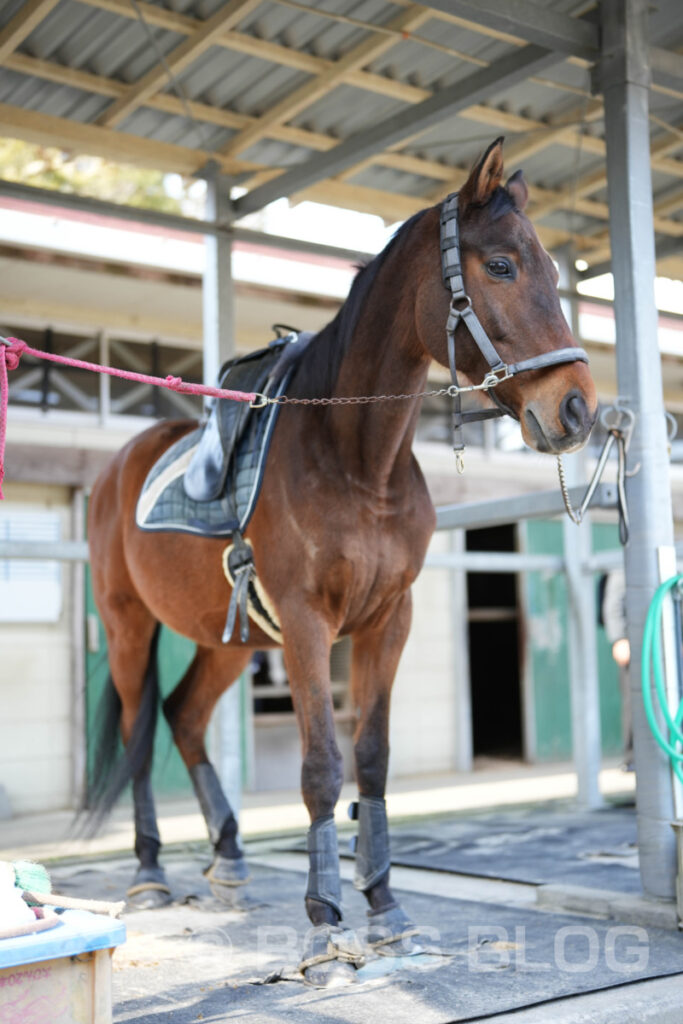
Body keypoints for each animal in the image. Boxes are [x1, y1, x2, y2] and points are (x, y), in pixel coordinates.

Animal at [88, 140, 593, 987]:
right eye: (499, 265)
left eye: (554, 272)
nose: (578, 409)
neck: (357, 462)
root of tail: (118, 463)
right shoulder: (305, 624)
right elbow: (323, 766)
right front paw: (325, 924)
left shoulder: (388, 620)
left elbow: (374, 760)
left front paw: (385, 909)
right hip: (130, 627)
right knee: (137, 732)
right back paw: (151, 872)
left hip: (227, 640)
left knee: (183, 716)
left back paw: (229, 859)